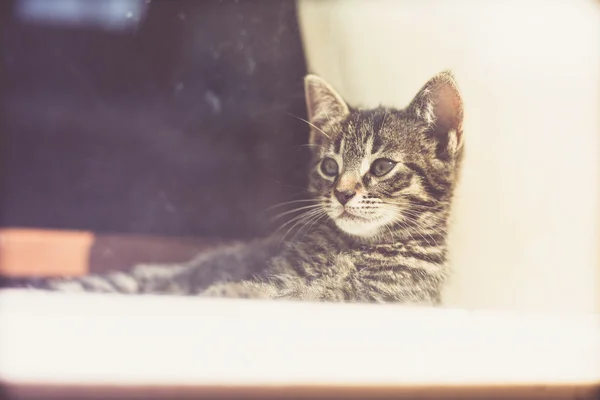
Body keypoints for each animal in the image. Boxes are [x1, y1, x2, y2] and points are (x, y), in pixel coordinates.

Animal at [3, 71, 464, 304]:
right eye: (329, 166)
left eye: (382, 166)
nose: (343, 193)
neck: (355, 248)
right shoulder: (285, 272)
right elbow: (283, 287)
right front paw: (232, 289)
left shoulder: (383, 298)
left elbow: (308, 295)